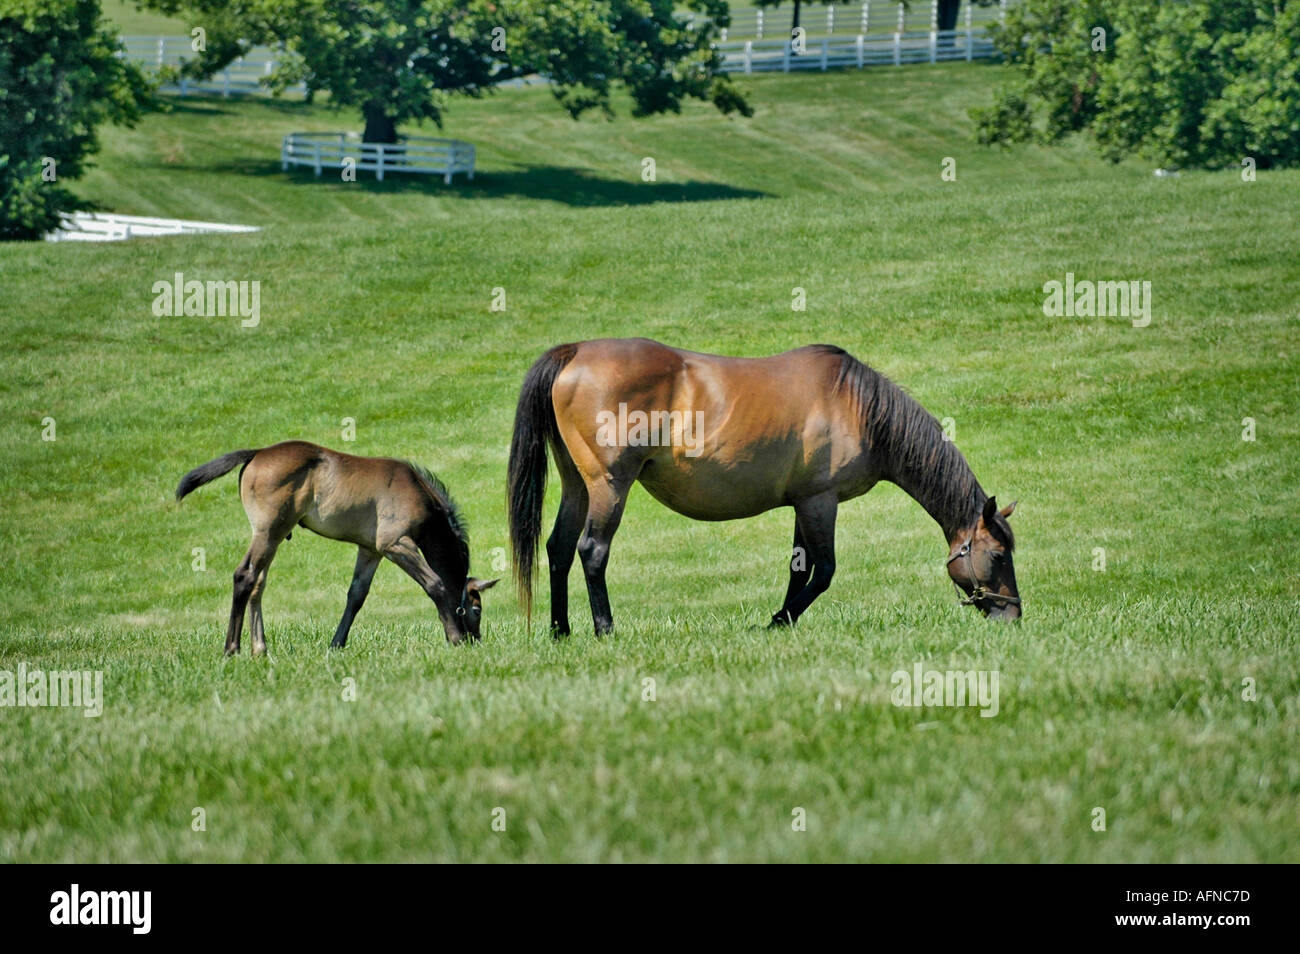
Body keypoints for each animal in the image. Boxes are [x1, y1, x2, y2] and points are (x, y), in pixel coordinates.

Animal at [175, 441, 497, 655]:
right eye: (477, 609)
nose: (476, 640)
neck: (418, 493)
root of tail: (258, 452)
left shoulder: (371, 551)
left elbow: (356, 596)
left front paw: (336, 644)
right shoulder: (395, 544)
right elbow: (435, 584)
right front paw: (454, 638)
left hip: (273, 537)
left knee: (258, 583)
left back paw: (260, 649)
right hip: (268, 532)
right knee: (245, 576)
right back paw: (232, 649)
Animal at [507, 338, 1020, 636]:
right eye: (997, 555)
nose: (1013, 615)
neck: (857, 406)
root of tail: (574, 352)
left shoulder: (802, 503)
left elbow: (799, 570)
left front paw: (781, 620)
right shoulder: (820, 502)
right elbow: (825, 571)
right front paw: (779, 620)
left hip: (578, 485)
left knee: (558, 548)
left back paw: (560, 631)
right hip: (610, 486)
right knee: (592, 551)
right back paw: (604, 629)